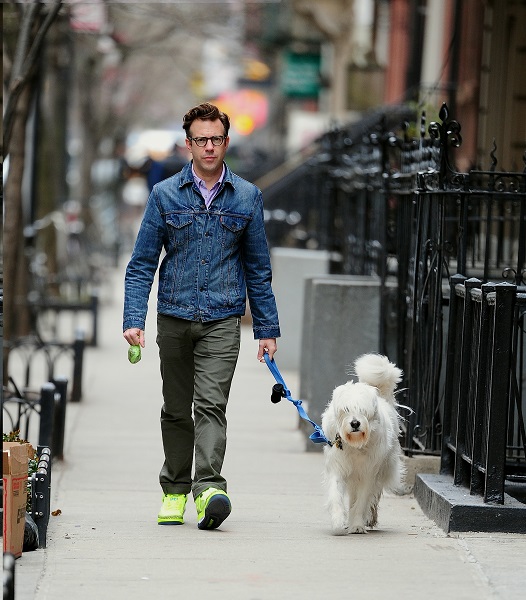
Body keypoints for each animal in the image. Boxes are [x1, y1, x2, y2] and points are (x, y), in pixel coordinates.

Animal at [322, 352, 404, 536]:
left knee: (373, 495)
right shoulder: (338, 467)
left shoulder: (369, 473)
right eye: (346, 409)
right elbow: (336, 495)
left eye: (363, 411)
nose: (355, 423)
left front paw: (357, 525)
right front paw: (338, 522)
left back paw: (369, 518)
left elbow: (362, 500)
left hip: (383, 468)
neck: (355, 445)